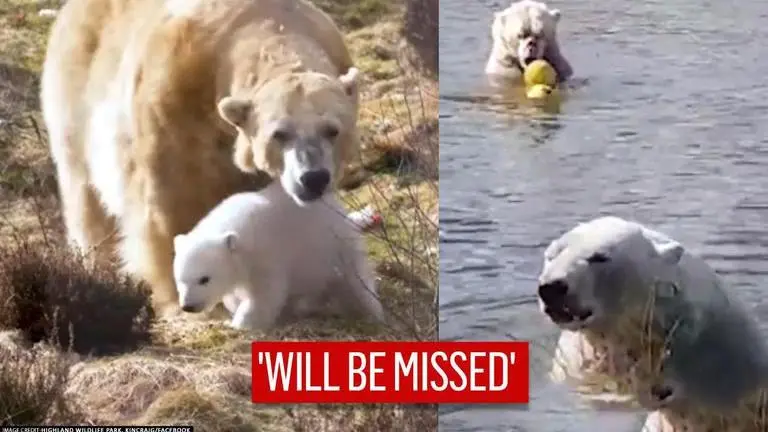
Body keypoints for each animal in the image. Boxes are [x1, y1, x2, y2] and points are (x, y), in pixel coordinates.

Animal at [40, 0, 361, 316]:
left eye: (332, 130)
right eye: (279, 134)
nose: (313, 178)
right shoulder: (173, 111)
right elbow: (172, 206)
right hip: (78, 99)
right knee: (85, 195)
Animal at [171, 179, 385, 331]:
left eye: (204, 279)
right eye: (180, 280)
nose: (188, 306)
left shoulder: (266, 255)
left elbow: (265, 295)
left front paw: (240, 323)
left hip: (335, 244)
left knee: (357, 278)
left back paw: (371, 310)